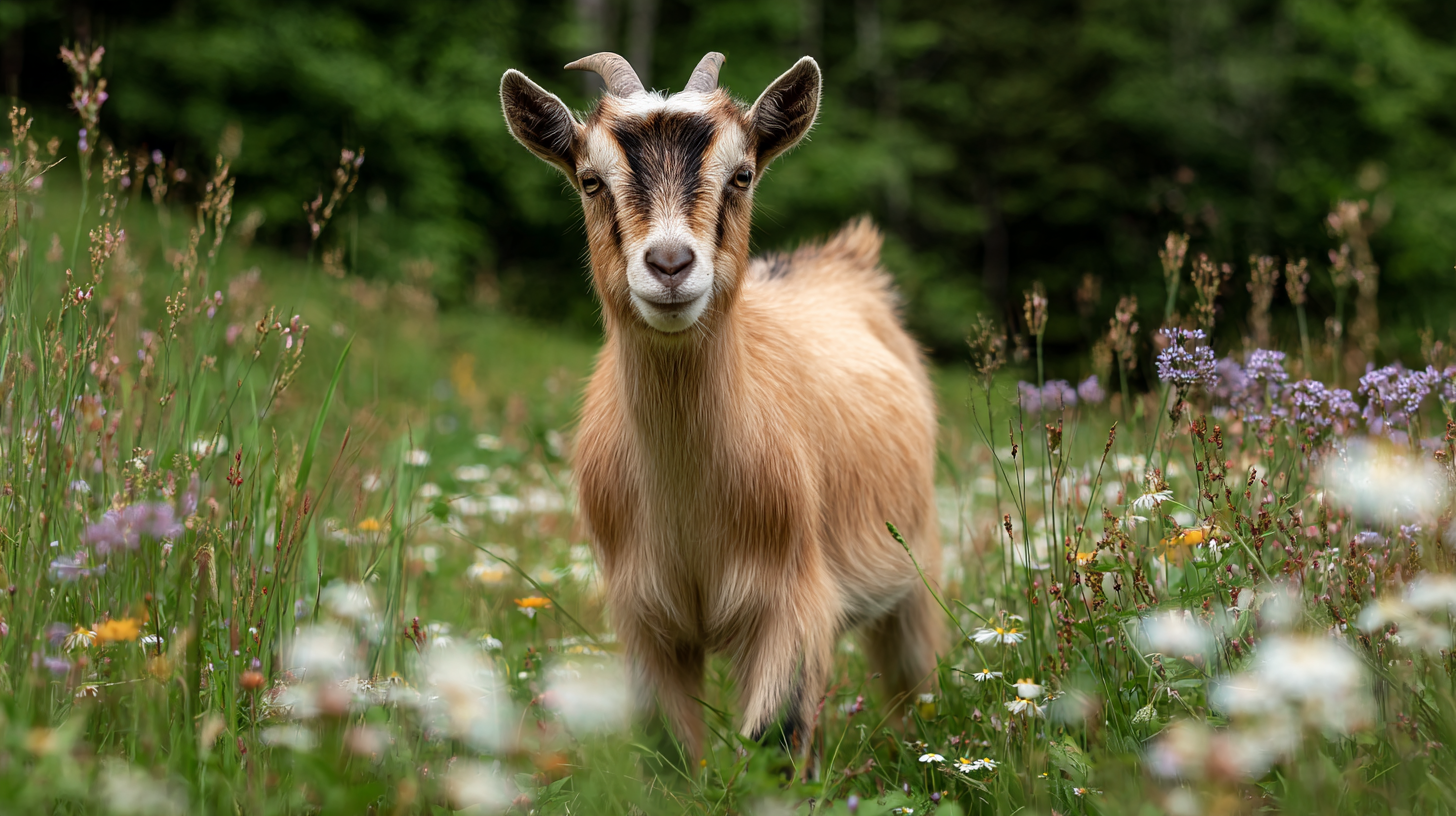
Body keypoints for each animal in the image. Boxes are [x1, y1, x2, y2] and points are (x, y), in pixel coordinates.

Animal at [500, 51, 943, 756]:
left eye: (742, 175)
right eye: (591, 181)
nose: (670, 264)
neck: (690, 520)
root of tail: (845, 258)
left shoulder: (793, 603)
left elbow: (776, 739)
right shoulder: (643, 618)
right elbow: (668, 751)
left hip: (915, 570)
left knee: (914, 688)